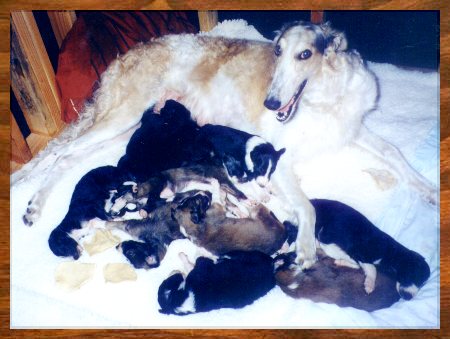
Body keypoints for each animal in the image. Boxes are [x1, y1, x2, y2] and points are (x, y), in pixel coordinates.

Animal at [14, 21, 436, 270]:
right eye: (277, 51)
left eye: (305, 54)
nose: (271, 103)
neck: (325, 94)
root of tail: (120, 58)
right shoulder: (280, 156)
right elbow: (307, 207)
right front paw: (304, 247)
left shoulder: (352, 127)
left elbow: (395, 153)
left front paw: (429, 189)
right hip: (122, 115)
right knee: (61, 155)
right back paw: (34, 206)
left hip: (127, 127)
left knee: (72, 159)